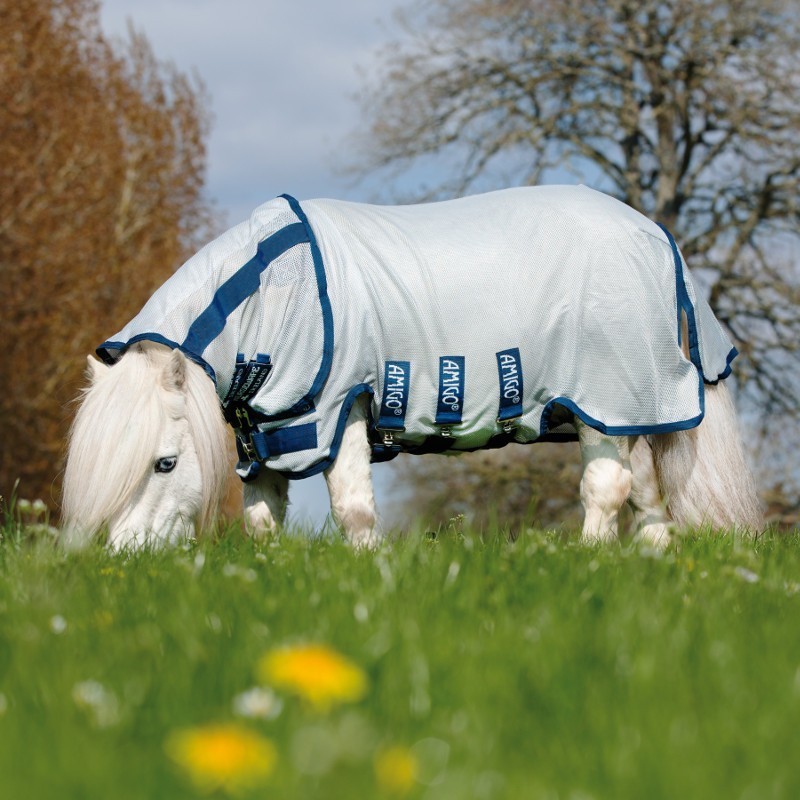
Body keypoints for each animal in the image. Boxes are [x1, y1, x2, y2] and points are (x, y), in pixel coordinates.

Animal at [61, 188, 764, 552]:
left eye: (165, 463)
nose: (125, 561)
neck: (274, 290)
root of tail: (655, 235)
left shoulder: (342, 409)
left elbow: (352, 510)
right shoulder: (270, 437)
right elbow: (263, 520)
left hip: (603, 398)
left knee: (607, 490)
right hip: (625, 410)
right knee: (646, 494)